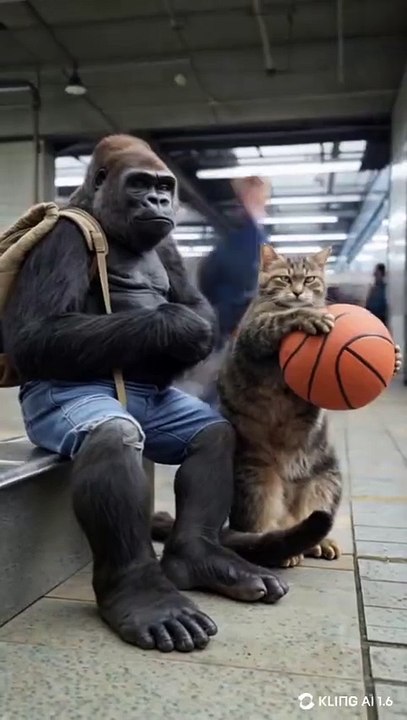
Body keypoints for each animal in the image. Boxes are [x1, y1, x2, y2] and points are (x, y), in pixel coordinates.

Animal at [2, 134, 290, 654]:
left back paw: (197, 557)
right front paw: (177, 328)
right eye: (139, 184)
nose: (157, 201)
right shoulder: (63, 239)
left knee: (214, 436)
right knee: (114, 440)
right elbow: (35, 333)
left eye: (163, 186)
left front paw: (190, 327)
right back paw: (140, 592)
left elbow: (196, 304)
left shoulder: (169, 241)